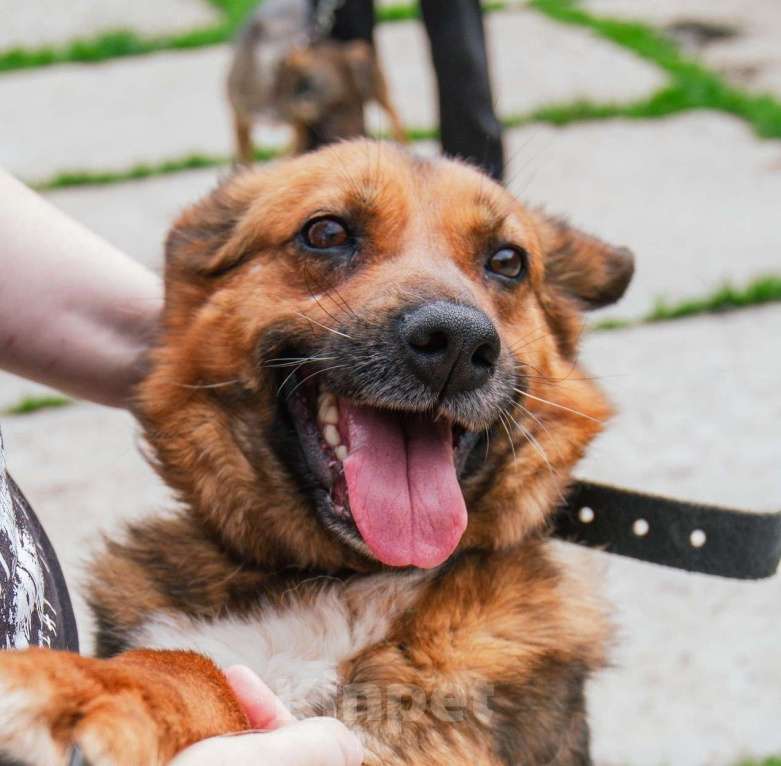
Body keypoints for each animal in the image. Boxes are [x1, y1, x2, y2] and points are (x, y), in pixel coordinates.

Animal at [0, 141, 632, 764]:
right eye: (326, 232)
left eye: (507, 262)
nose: (456, 343)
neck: (331, 577)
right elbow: (193, 665)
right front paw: (89, 686)